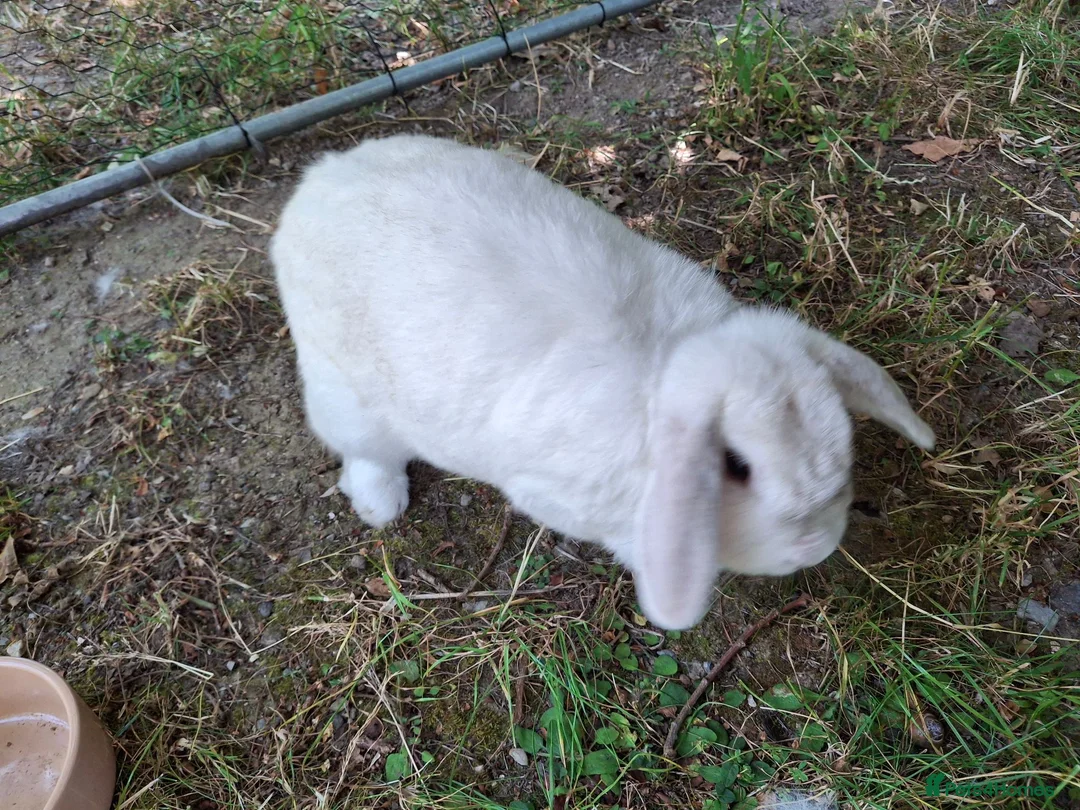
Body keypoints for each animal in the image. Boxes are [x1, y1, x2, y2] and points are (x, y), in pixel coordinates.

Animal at [270, 134, 935, 631]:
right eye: (736, 467)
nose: (816, 547)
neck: (662, 372)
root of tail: (319, 183)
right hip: (342, 389)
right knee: (364, 451)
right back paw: (380, 505)